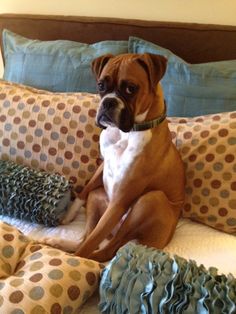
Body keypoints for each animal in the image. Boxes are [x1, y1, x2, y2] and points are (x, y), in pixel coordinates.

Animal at [46, 52, 186, 262]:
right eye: (101, 85)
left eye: (131, 89)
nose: (108, 102)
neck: (125, 133)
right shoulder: (103, 166)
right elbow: (85, 190)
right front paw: (69, 215)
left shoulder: (120, 200)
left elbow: (89, 246)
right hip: (99, 198)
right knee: (87, 238)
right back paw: (59, 243)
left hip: (150, 201)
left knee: (104, 250)